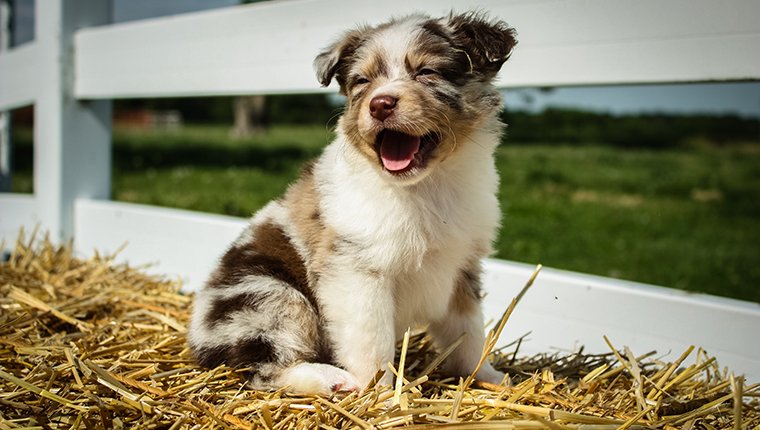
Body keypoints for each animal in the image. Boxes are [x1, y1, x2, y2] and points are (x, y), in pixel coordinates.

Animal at [189, 10, 516, 394]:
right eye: (362, 81)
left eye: (426, 72)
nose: (380, 104)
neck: (427, 186)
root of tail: (198, 339)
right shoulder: (357, 271)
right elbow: (372, 341)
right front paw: (380, 394)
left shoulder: (462, 267)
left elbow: (469, 333)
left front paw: (488, 377)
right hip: (269, 296)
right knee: (264, 369)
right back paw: (330, 379)